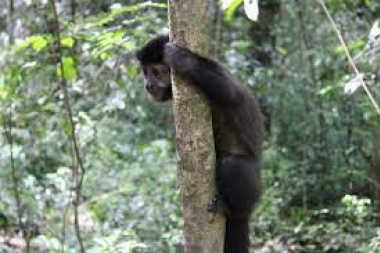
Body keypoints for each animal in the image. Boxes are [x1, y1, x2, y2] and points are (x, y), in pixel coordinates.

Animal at [137, 35, 264, 253]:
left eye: (156, 72)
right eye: (145, 72)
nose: (148, 85)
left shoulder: (220, 71)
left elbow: (232, 94)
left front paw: (182, 60)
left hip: (254, 187)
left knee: (234, 165)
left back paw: (231, 209)